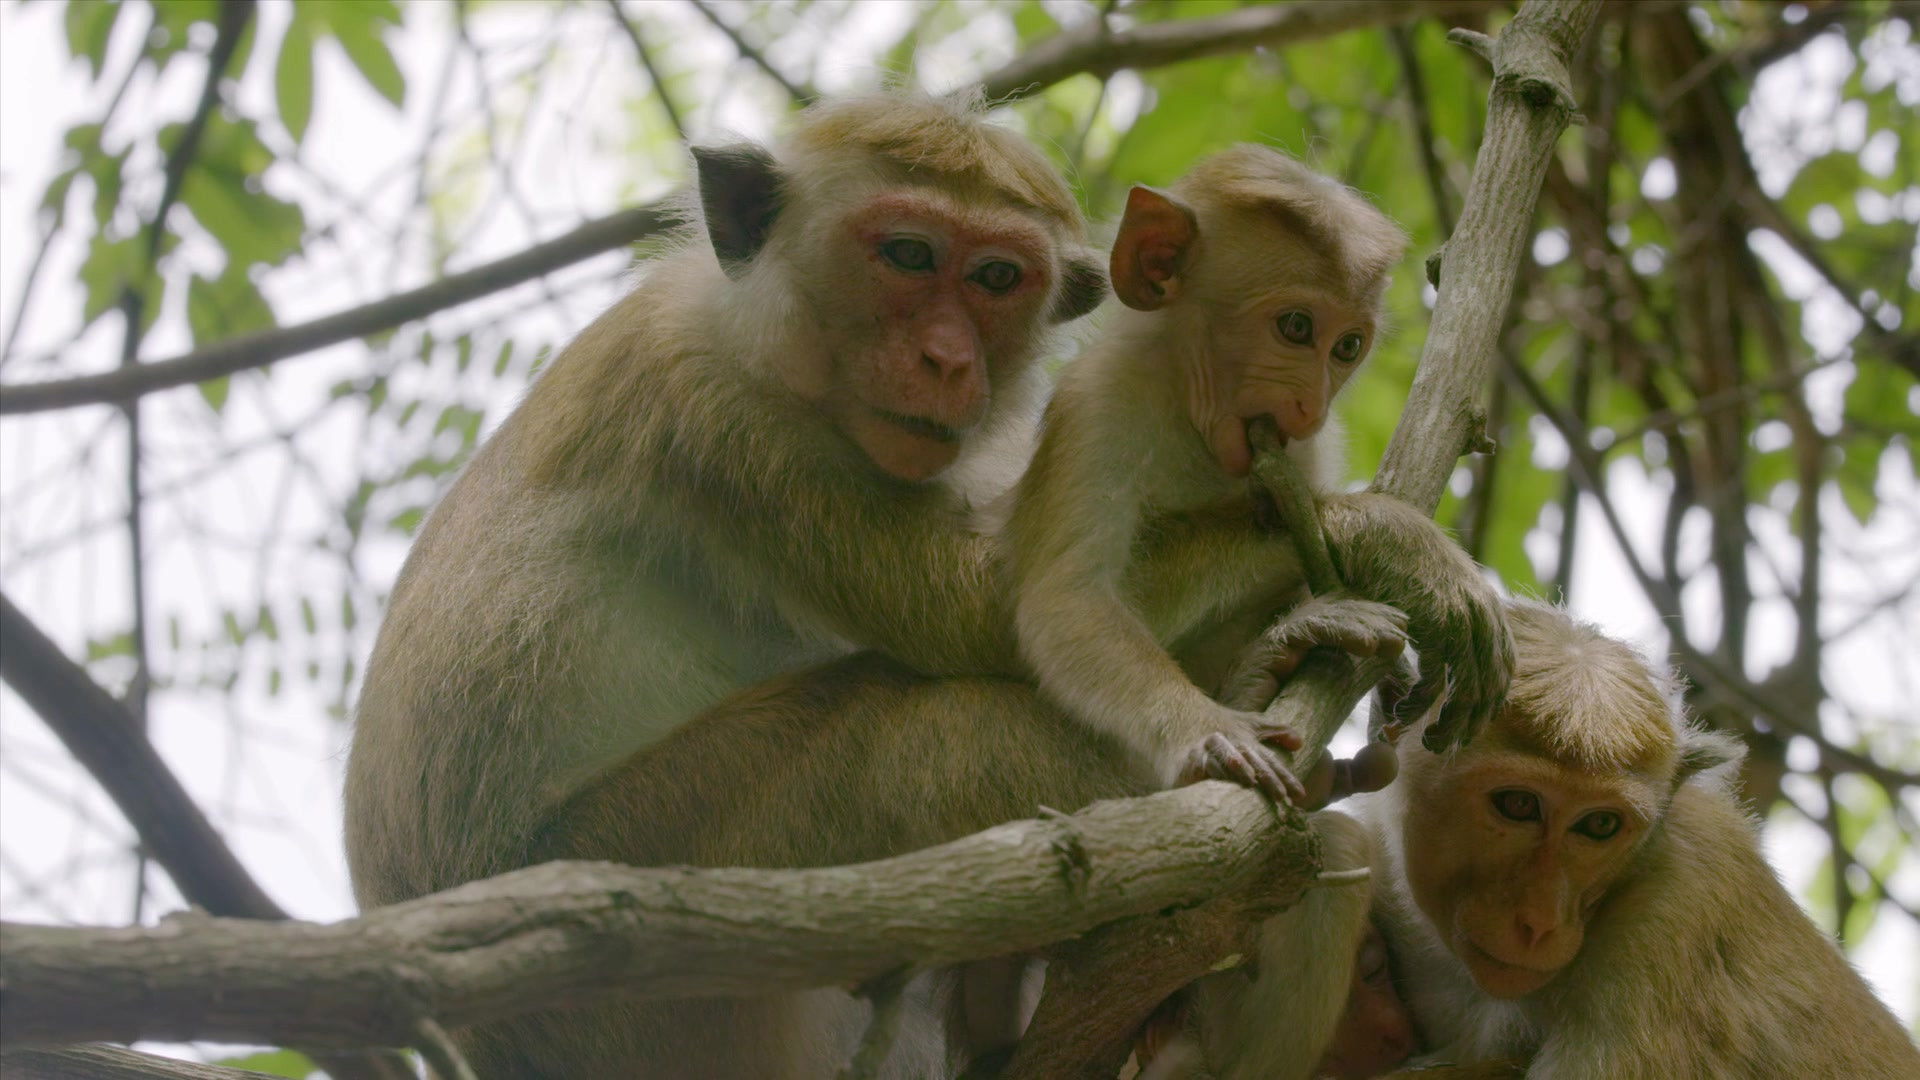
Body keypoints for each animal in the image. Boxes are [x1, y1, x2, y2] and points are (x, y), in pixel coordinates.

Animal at [1006, 145, 1508, 809]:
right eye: (1295, 328)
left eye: (1347, 347)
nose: (1310, 407)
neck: (1191, 420)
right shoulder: (1099, 403)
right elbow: (1070, 600)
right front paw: (1398, 543)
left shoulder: (1306, 449)